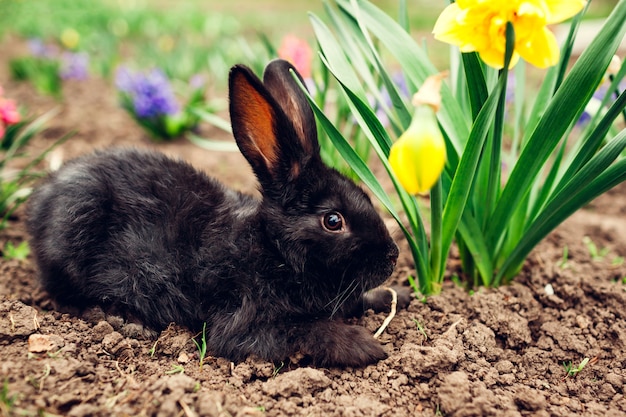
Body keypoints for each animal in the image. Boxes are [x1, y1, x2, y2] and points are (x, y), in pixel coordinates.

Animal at [26, 57, 402, 364]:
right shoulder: (243, 321)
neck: (272, 248)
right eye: (333, 220)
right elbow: (303, 329)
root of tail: (43, 200)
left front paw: (395, 295)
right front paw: (364, 346)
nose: (392, 257)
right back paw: (124, 320)